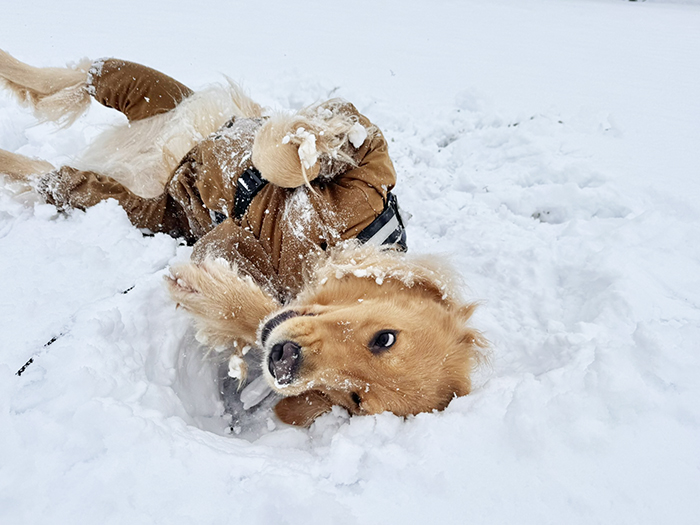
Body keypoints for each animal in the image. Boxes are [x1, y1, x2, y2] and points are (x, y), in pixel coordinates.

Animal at [0, 50, 484, 426]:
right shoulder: (366, 161)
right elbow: (289, 154)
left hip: (131, 204)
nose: (284, 362)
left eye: (352, 398)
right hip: (143, 89)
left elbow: (248, 300)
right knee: (79, 75)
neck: (319, 250)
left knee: (52, 174)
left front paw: (217, 296)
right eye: (385, 339)